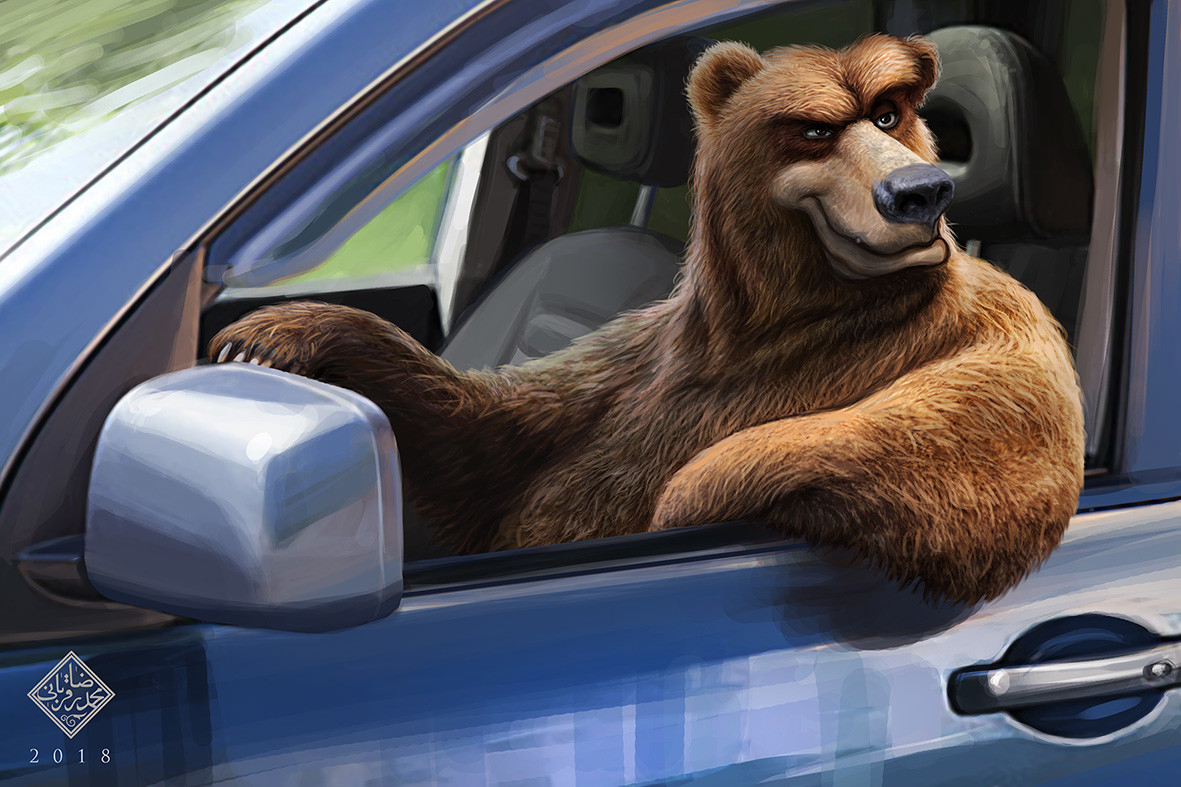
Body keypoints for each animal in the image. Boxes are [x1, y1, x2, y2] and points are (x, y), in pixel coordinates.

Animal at [208, 34, 1085, 604]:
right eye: (814, 127)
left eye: (889, 113)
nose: (918, 191)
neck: (782, 315)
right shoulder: (640, 357)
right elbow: (483, 432)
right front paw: (281, 330)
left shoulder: (990, 339)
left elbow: (971, 455)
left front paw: (688, 500)